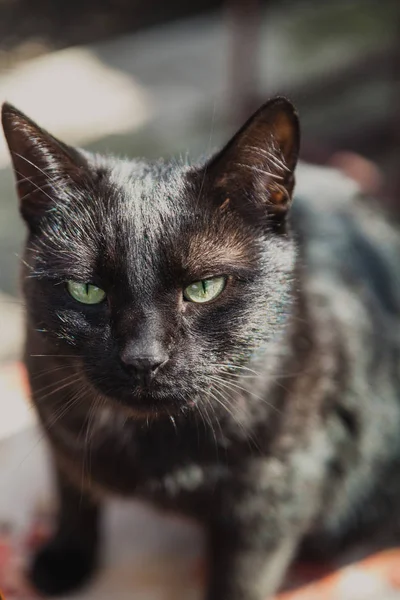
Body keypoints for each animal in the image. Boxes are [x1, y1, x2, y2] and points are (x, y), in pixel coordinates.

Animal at [2, 96, 400, 596]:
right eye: (87, 290)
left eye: (204, 288)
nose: (144, 359)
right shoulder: (60, 429)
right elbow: (73, 494)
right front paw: (65, 557)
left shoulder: (273, 495)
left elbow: (240, 580)